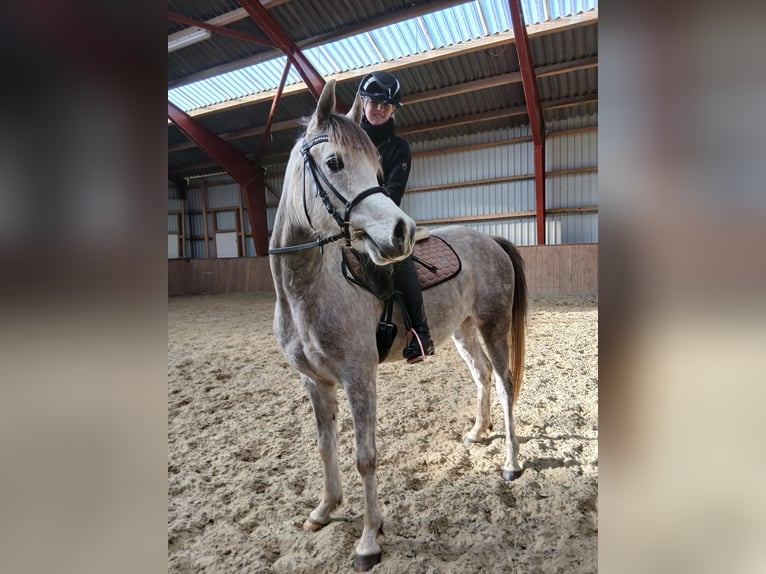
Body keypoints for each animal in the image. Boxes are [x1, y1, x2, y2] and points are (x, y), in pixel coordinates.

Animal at [268, 79, 528, 571]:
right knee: (482, 375)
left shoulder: (358, 376)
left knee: (505, 383)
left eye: (377, 167)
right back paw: (476, 432)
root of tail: (490, 238)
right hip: (463, 330)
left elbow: (365, 457)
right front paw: (324, 511)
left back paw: (511, 463)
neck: (307, 290)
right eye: (334, 162)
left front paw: (369, 540)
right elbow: (325, 445)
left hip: (493, 325)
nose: (401, 233)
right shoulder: (315, 382)